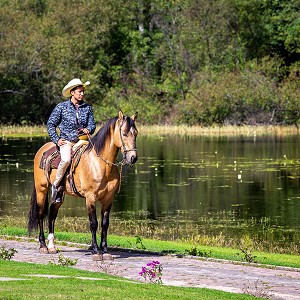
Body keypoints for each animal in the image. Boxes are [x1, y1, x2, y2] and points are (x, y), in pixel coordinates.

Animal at [28, 110, 138, 260]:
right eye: (125, 133)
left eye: (136, 133)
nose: (133, 158)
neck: (101, 164)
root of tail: (42, 150)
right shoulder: (90, 197)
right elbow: (93, 223)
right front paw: (96, 251)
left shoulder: (109, 198)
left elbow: (105, 224)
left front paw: (105, 250)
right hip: (41, 189)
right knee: (40, 214)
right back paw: (43, 246)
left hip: (59, 194)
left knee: (52, 215)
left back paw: (51, 246)